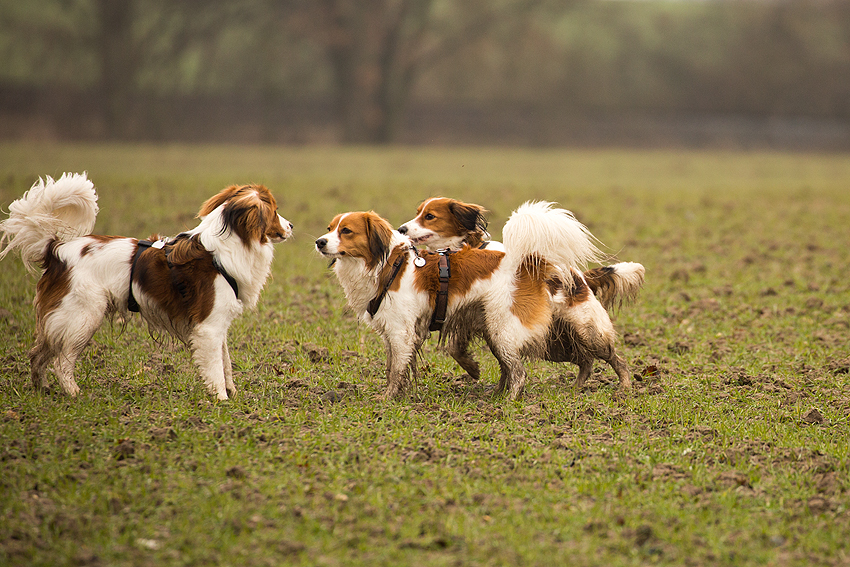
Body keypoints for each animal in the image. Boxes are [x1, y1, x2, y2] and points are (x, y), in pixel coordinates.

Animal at [0, 173, 292, 400]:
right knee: (62, 361)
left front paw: (233, 392)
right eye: (275, 211)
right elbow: (215, 368)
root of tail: (56, 250)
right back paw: (74, 394)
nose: (291, 225)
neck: (222, 250)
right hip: (83, 317)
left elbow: (226, 363)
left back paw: (42, 390)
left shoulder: (218, 324)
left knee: (38, 354)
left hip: (63, 318)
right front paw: (221, 399)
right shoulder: (208, 327)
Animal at [316, 202, 636, 402]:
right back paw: (571, 389)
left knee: (526, 371)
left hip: (525, 329)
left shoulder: (401, 331)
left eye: (346, 231)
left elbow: (396, 370)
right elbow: (394, 366)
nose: (320, 241)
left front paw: (387, 398)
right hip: (530, 336)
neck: (386, 265)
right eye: (330, 227)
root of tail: (529, 262)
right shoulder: (396, 334)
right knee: (582, 361)